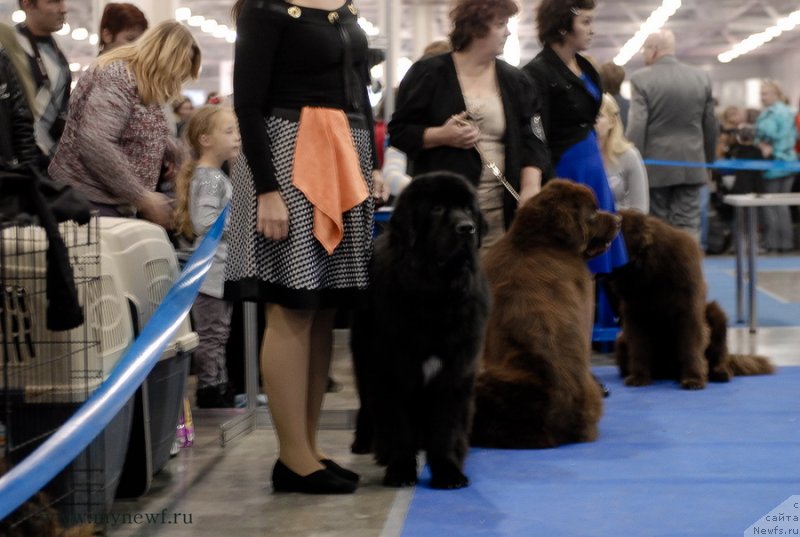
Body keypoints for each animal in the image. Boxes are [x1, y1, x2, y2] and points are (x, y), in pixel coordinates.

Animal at [354, 173, 490, 490]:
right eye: (437, 209)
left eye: (468, 208)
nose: (467, 228)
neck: (436, 294)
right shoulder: (395, 372)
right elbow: (400, 426)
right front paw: (401, 470)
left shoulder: (455, 372)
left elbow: (446, 427)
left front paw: (448, 470)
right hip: (365, 359)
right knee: (368, 404)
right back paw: (366, 444)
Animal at [608, 207, 776, 388]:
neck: (649, 270)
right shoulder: (635, 315)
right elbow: (639, 348)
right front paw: (639, 377)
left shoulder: (688, 310)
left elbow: (690, 346)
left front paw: (693, 379)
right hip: (620, 341)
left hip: (716, 313)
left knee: (720, 353)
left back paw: (720, 372)